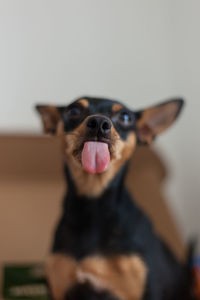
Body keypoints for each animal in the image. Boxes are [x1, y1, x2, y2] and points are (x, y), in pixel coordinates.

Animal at [36, 96, 195, 300]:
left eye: (126, 117)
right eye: (73, 111)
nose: (98, 122)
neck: (94, 206)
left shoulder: (148, 291)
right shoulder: (61, 289)